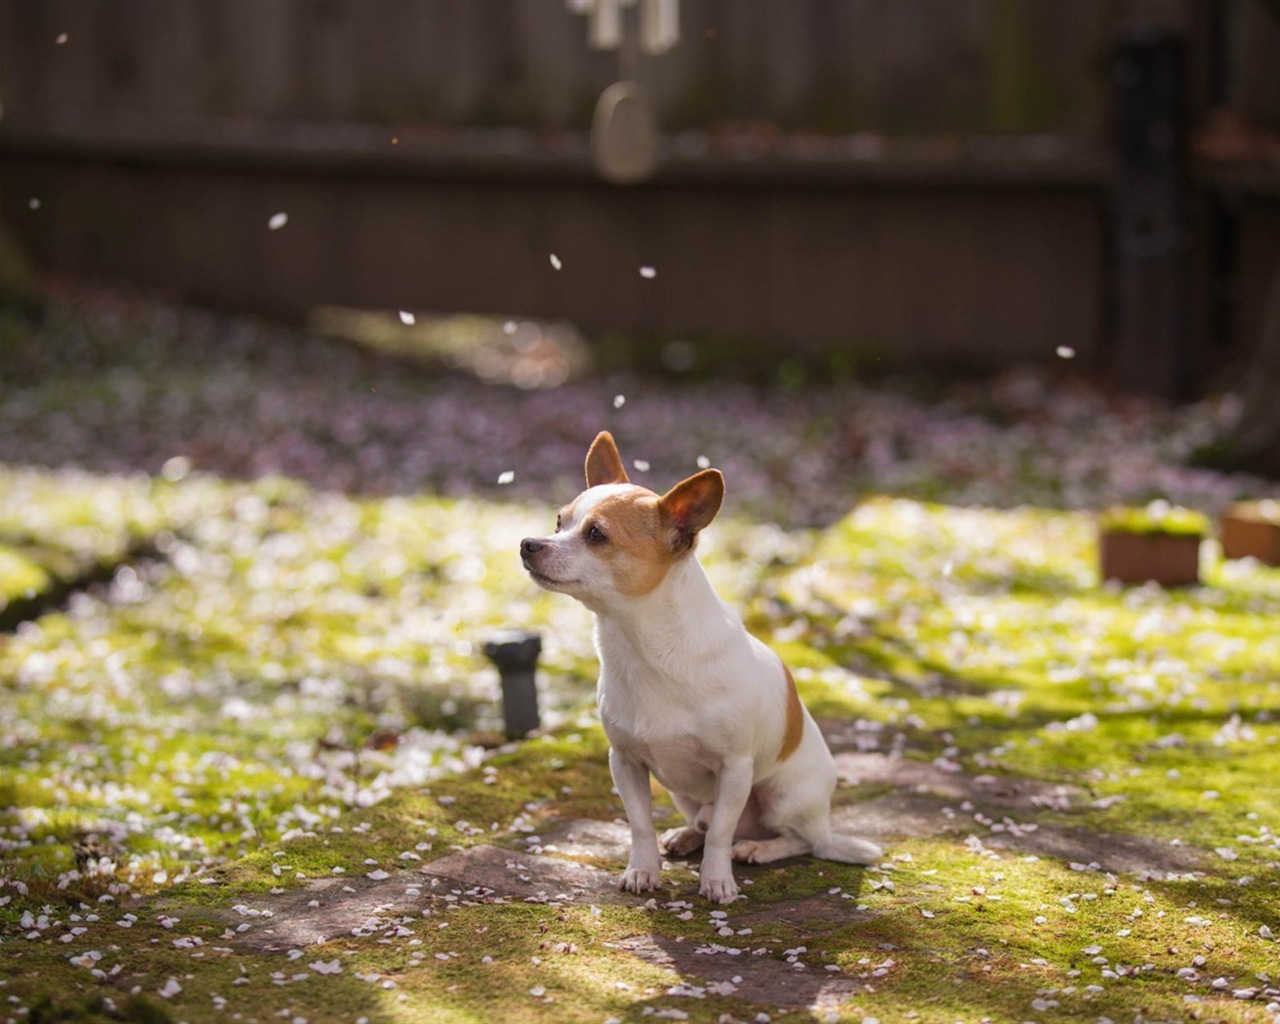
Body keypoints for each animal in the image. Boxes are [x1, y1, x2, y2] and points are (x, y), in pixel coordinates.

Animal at [519, 432, 880, 906]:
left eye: (595, 534)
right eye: (559, 522)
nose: (528, 543)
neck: (644, 649)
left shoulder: (735, 769)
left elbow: (723, 834)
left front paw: (717, 880)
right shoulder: (625, 762)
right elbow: (640, 824)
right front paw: (643, 869)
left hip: (782, 796)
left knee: (798, 840)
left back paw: (759, 849)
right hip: (684, 794)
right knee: (707, 822)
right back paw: (687, 836)